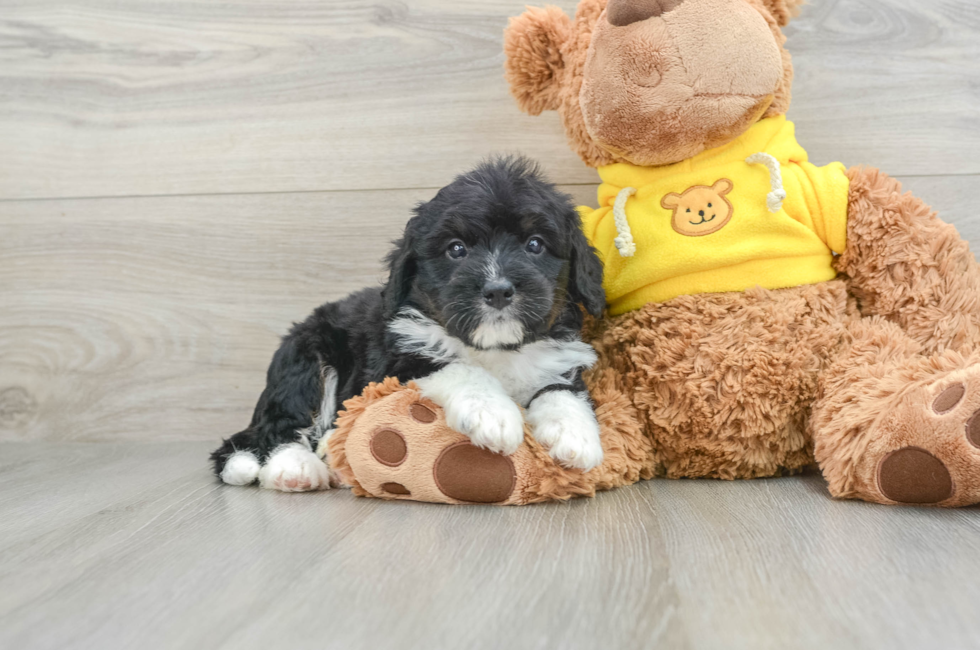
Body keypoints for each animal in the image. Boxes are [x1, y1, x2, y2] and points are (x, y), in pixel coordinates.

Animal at [212, 158, 604, 492]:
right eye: (456, 249)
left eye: (535, 244)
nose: (497, 290)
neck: (496, 349)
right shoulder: (396, 364)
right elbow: (457, 366)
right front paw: (491, 412)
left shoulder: (560, 357)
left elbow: (560, 389)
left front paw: (575, 434)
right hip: (306, 358)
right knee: (282, 425)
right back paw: (294, 468)